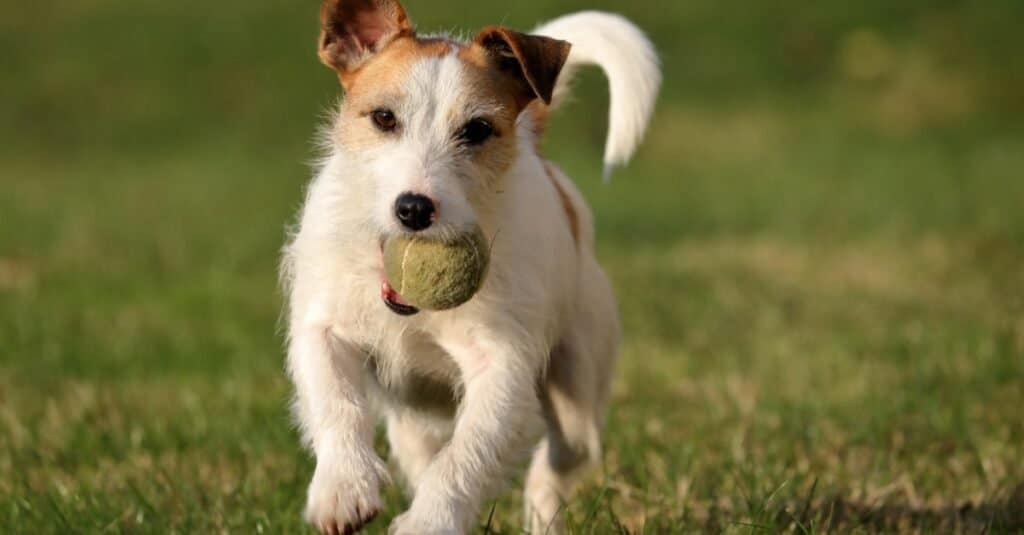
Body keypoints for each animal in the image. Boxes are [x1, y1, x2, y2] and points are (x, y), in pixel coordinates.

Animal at [282, 2, 655, 528]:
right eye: (383, 118)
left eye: (476, 129)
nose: (413, 209)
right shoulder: (324, 329)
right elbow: (337, 403)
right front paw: (343, 488)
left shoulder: (500, 369)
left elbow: (465, 456)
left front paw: (429, 523)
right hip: (413, 424)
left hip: (579, 400)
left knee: (552, 469)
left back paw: (541, 520)